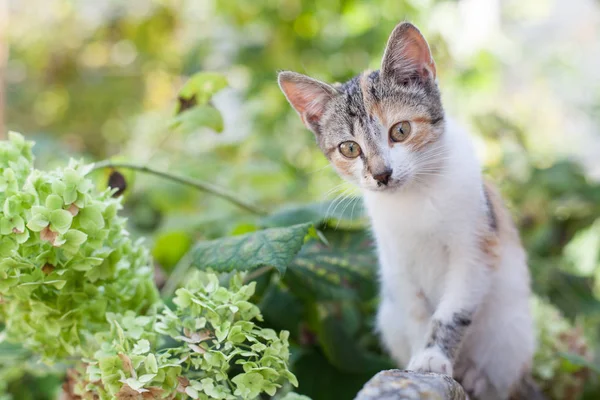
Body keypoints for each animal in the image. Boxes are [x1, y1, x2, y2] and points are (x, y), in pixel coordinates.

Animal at [278, 21, 536, 400]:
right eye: (349, 148)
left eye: (400, 130)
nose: (382, 174)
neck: (416, 197)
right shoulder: (397, 262)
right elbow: (416, 314)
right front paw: (417, 361)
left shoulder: (475, 249)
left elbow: (452, 311)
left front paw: (433, 356)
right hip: (389, 317)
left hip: (512, 330)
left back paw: (477, 378)